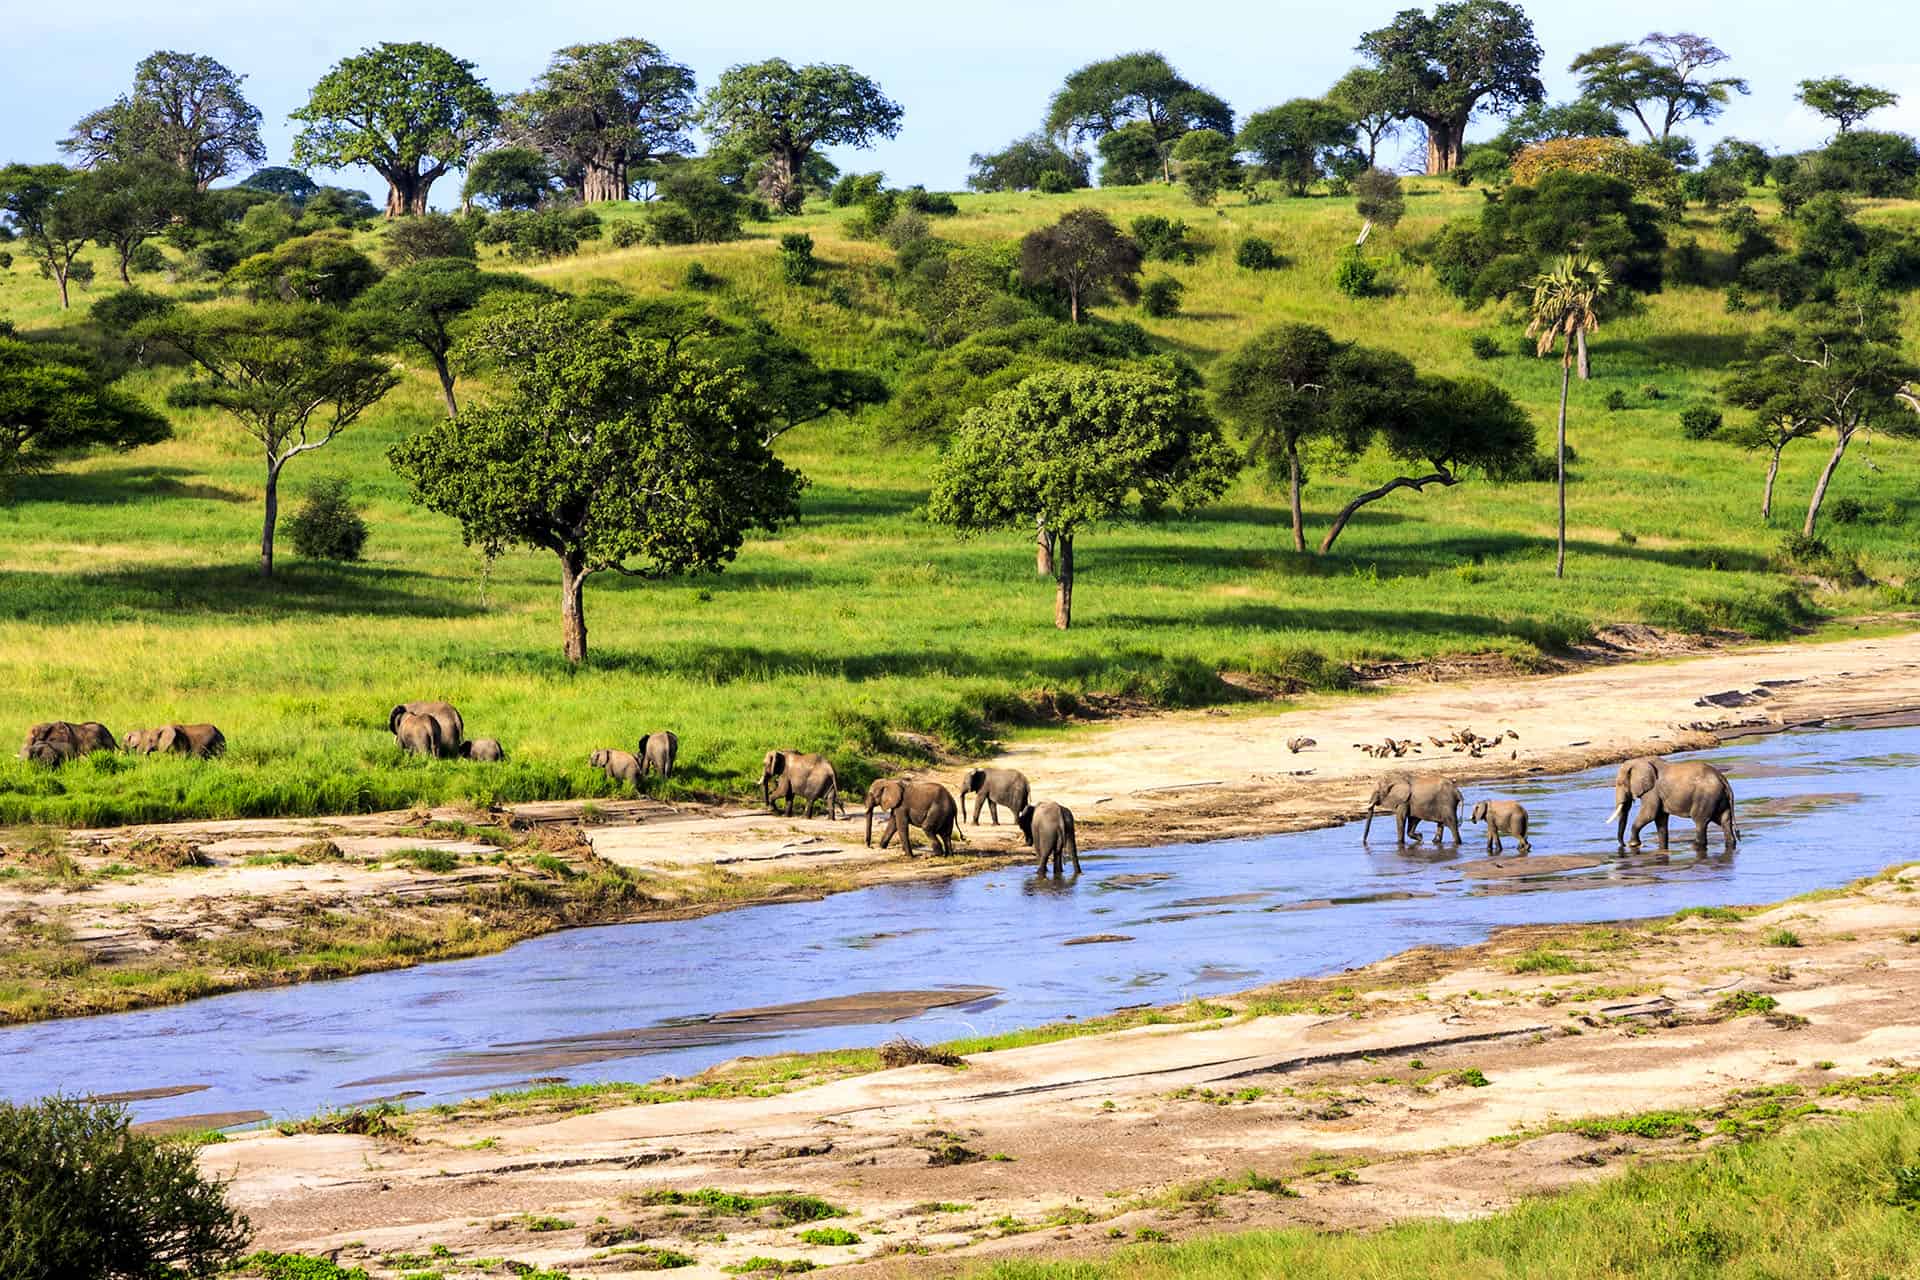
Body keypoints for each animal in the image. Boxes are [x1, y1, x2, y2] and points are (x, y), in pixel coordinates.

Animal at [1605, 756, 1743, 855]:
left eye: (1620, 783)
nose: (1622, 845)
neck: (1639, 761)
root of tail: (1722, 779)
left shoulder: (1652, 791)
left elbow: (1649, 814)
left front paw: (1633, 844)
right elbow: (1660, 818)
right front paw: (1661, 847)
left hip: (1706, 797)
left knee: (1700, 822)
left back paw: (1694, 846)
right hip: (1720, 799)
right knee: (1725, 821)